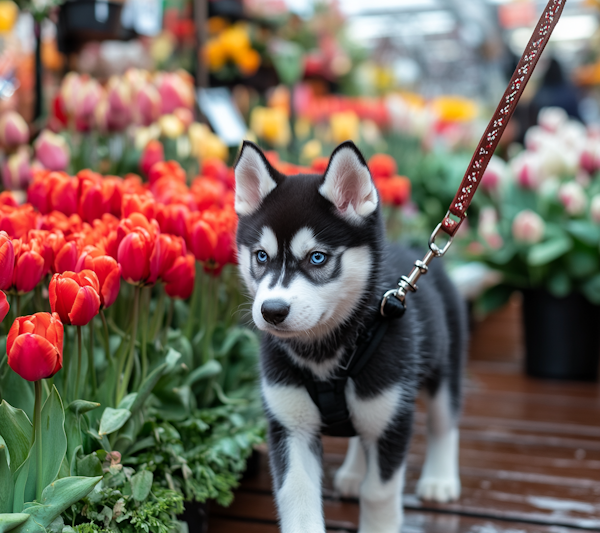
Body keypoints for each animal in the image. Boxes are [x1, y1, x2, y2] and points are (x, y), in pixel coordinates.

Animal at [234, 139, 468, 528]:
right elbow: (296, 496)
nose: (272, 311)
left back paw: (439, 478)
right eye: (261, 256)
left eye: (317, 258)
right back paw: (355, 472)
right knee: (362, 435)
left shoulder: (394, 418)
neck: (324, 354)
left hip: (442, 366)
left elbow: (379, 492)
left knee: (443, 422)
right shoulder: (290, 425)